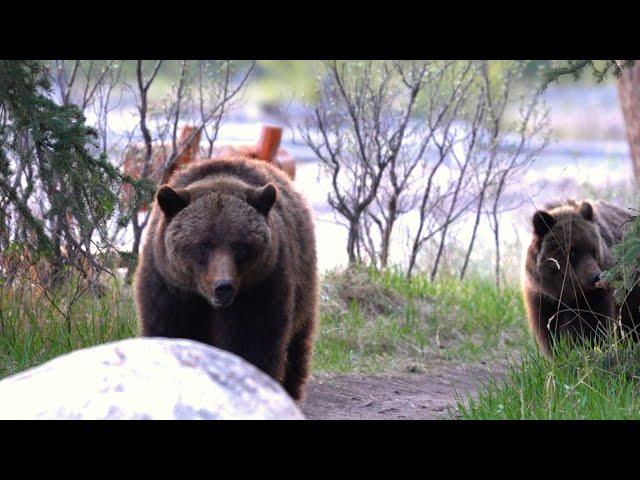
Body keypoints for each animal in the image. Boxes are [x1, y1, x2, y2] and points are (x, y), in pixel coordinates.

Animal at [134, 157, 318, 402]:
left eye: (239, 245)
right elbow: (169, 332)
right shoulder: (170, 288)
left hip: (303, 284)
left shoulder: (259, 288)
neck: (204, 300)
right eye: (203, 244)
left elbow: (251, 342)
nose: (223, 287)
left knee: (297, 345)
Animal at [524, 199, 636, 356]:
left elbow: (593, 324)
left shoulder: (592, 296)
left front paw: (587, 348)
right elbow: (548, 330)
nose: (596, 276)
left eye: (593, 250)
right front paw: (558, 353)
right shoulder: (544, 297)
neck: (567, 293)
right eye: (573, 251)